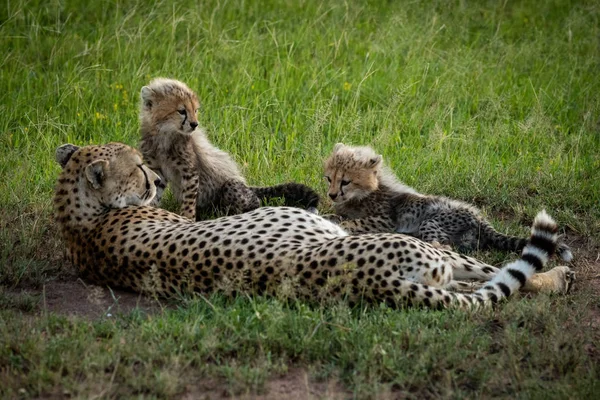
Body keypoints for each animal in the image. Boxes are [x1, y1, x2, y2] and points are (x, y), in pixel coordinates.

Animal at [54, 142, 576, 308]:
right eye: (140, 169)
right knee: (501, 275)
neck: (81, 222)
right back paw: (559, 275)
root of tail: (375, 281)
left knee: (482, 282)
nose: (159, 180)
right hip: (433, 252)